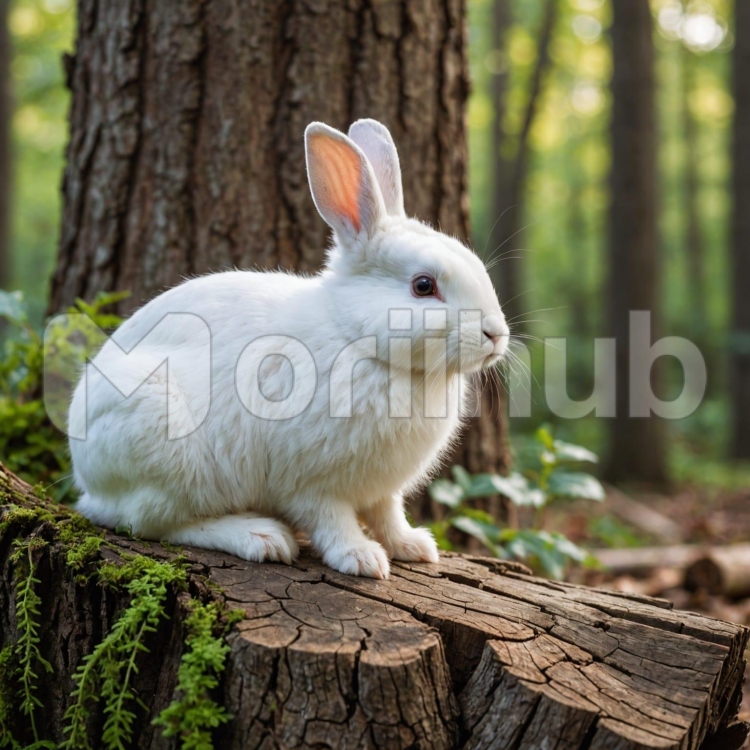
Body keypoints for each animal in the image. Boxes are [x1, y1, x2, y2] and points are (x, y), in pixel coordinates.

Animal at [68, 119, 509, 579]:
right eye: (423, 285)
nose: (496, 334)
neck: (359, 340)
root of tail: (88, 483)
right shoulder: (310, 483)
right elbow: (331, 519)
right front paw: (362, 559)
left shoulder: (382, 489)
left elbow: (388, 515)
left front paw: (414, 547)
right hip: (168, 449)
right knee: (155, 523)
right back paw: (261, 537)